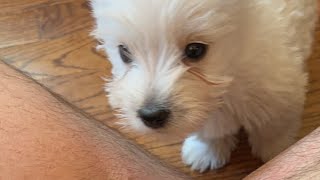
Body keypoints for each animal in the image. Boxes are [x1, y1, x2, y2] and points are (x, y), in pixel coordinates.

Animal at [90, 0, 318, 172]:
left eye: (195, 50)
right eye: (124, 52)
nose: (151, 115)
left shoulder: (280, 89)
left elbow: (274, 126)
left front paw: (277, 151)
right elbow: (210, 131)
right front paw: (206, 151)